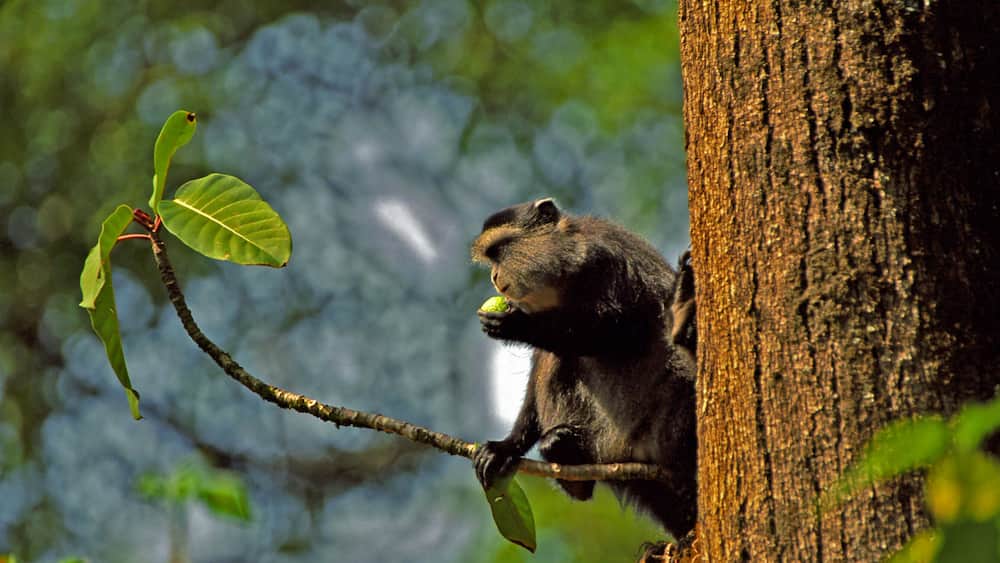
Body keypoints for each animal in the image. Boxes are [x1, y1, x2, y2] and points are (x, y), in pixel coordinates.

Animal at [470, 197, 697, 540]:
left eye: (500, 250)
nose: (495, 276)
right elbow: (538, 373)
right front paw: (506, 448)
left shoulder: (603, 260)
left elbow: (624, 331)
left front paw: (516, 324)